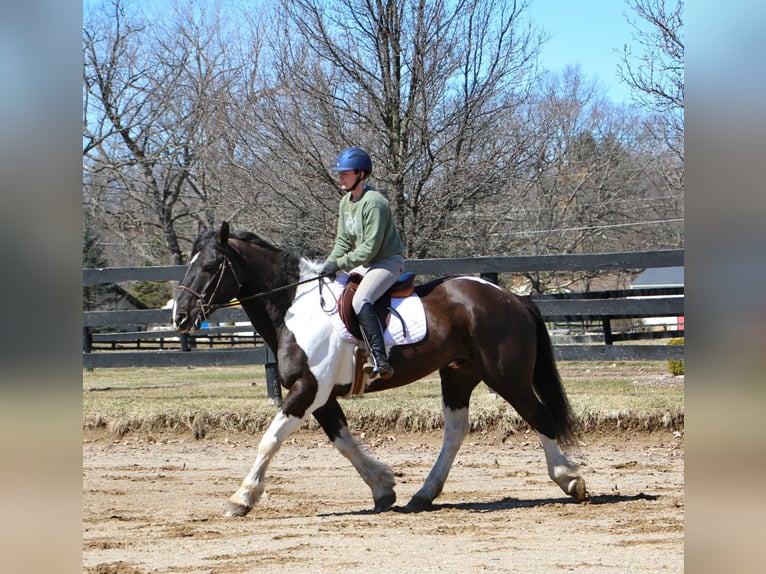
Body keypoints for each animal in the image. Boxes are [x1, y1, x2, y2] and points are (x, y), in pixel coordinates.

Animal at [172, 223, 588, 520]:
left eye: (209, 267)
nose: (179, 317)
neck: (295, 306)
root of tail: (510, 297)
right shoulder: (320, 395)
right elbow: (343, 441)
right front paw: (383, 487)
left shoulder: (307, 390)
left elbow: (269, 440)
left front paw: (241, 498)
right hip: (458, 375)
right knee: (455, 431)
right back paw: (423, 495)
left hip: (506, 377)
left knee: (539, 416)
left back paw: (570, 480)